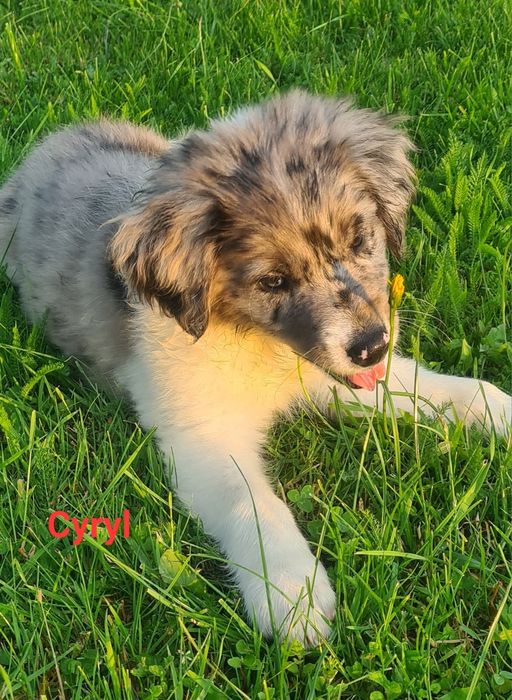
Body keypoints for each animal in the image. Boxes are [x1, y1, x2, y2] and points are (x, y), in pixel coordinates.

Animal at [0, 91, 510, 644]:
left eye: (360, 241)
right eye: (272, 281)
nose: (371, 347)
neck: (260, 344)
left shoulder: (333, 372)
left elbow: (421, 385)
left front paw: (495, 409)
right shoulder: (201, 434)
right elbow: (252, 503)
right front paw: (292, 592)